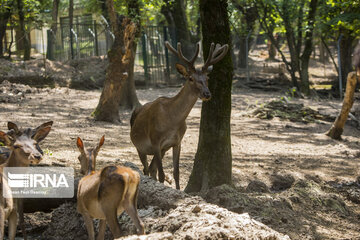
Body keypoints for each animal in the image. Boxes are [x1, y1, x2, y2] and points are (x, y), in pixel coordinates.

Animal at [131, 40, 229, 189]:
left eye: (207, 77)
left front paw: (178, 190)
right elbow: (162, 174)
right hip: (139, 146)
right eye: (190, 78)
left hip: (161, 149)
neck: (172, 122)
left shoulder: (177, 142)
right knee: (146, 169)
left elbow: (176, 172)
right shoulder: (155, 141)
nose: (207, 94)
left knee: (152, 169)